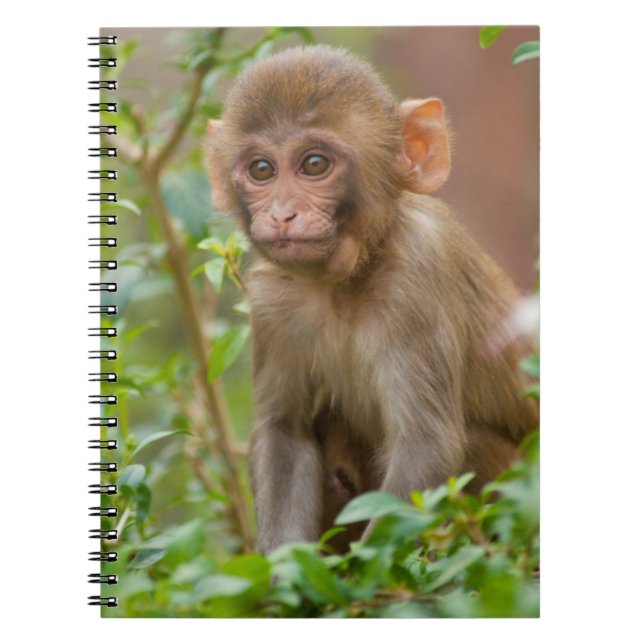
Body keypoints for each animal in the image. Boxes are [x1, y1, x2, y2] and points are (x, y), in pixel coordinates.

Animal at [206, 45, 538, 553]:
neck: (344, 282)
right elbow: (286, 433)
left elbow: (426, 446)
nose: (282, 214)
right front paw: (286, 572)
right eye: (262, 170)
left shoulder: (417, 276)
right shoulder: (271, 301)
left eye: (314, 164)